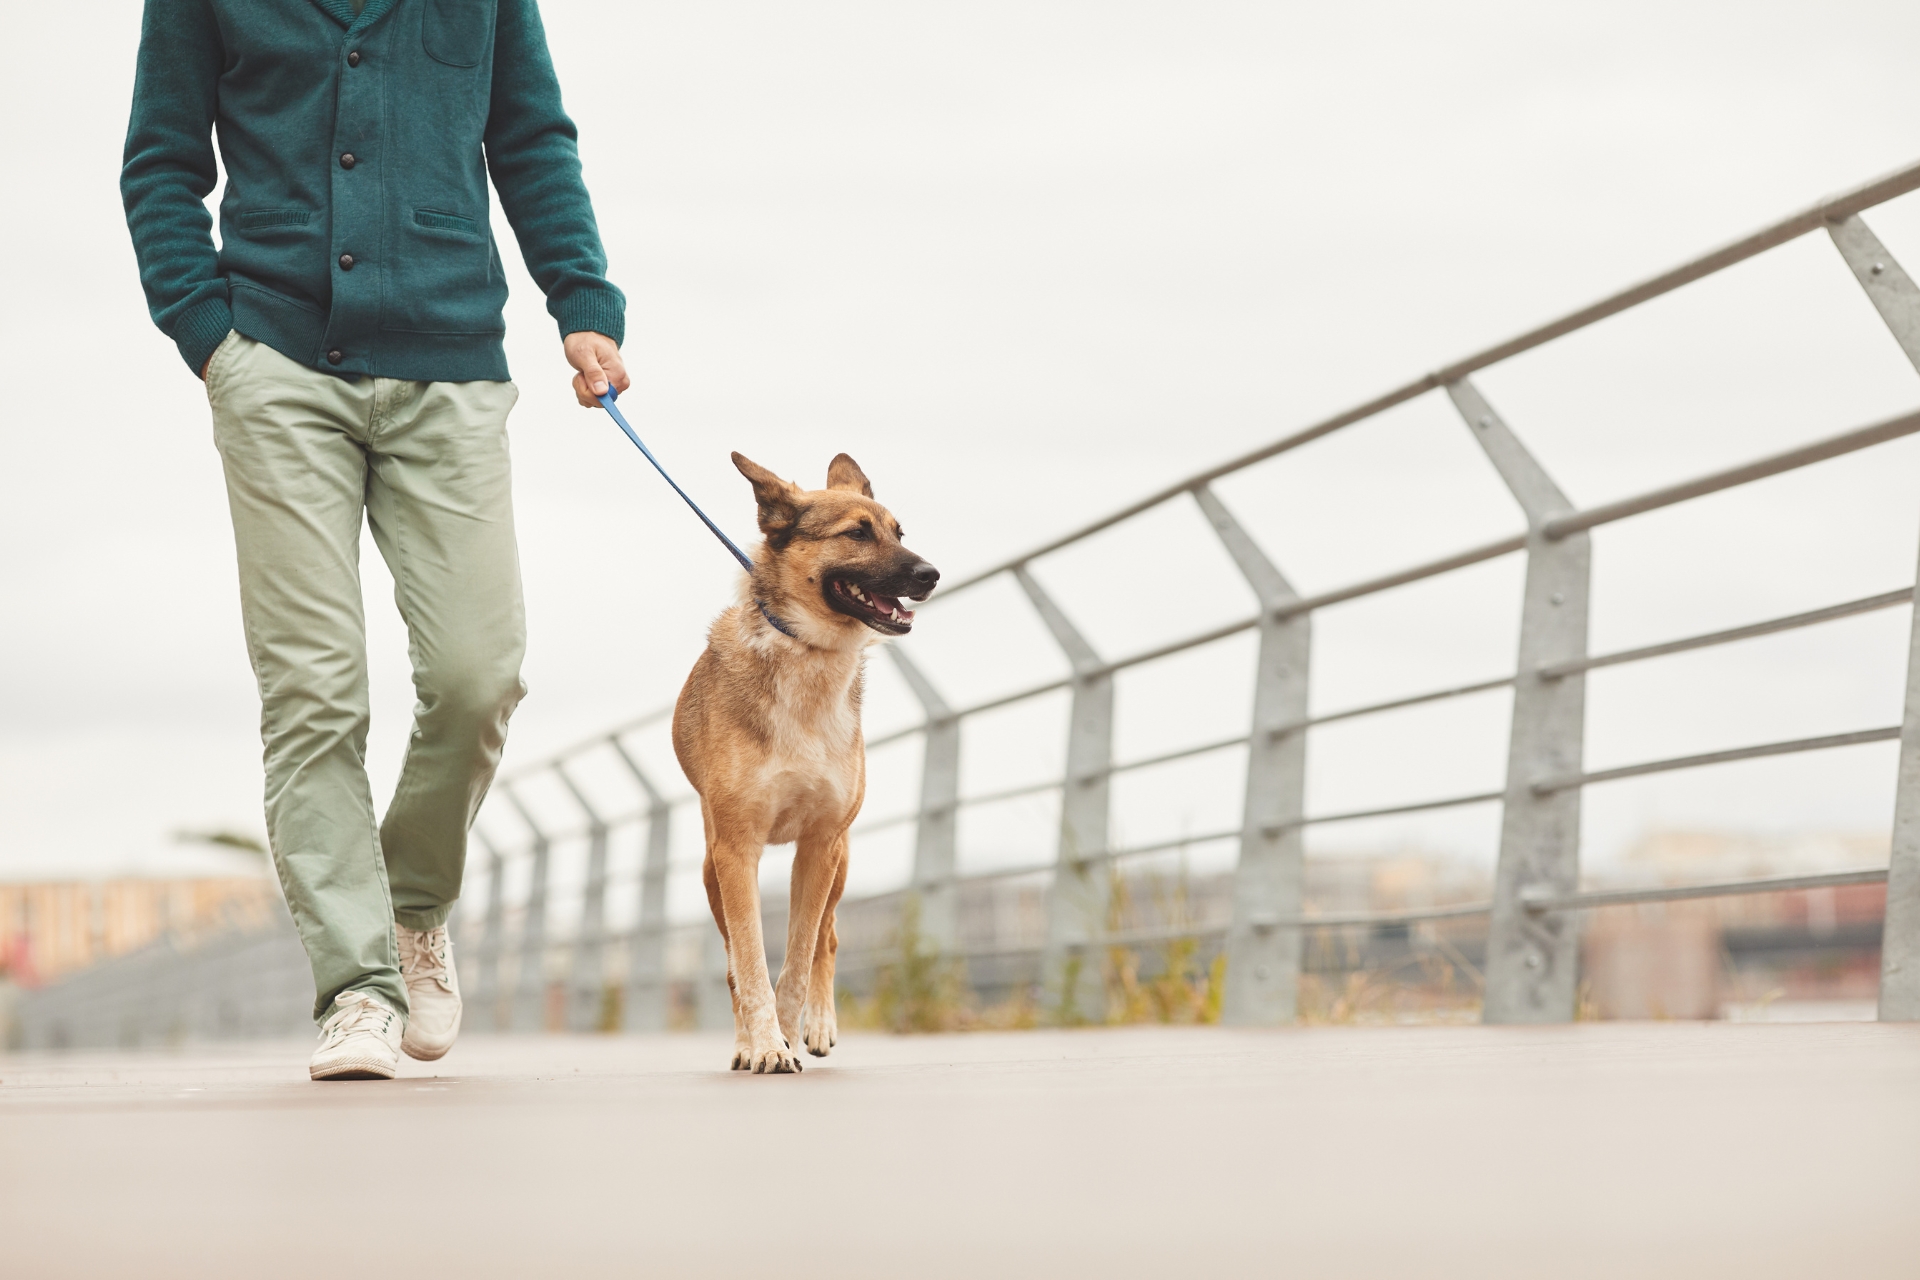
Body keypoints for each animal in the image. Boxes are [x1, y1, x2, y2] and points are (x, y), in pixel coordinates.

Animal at [675, 450, 936, 1074]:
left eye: (899, 533)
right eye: (856, 534)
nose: (931, 574)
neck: (809, 653)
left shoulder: (820, 844)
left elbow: (797, 957)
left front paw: (792, 1036)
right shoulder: (736, 851)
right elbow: (748, 962)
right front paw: (765, 1045)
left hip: (838, 862)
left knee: (829, 936)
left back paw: (817, 1026)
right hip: (712, 871)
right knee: (733, 963)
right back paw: (747, 1041)